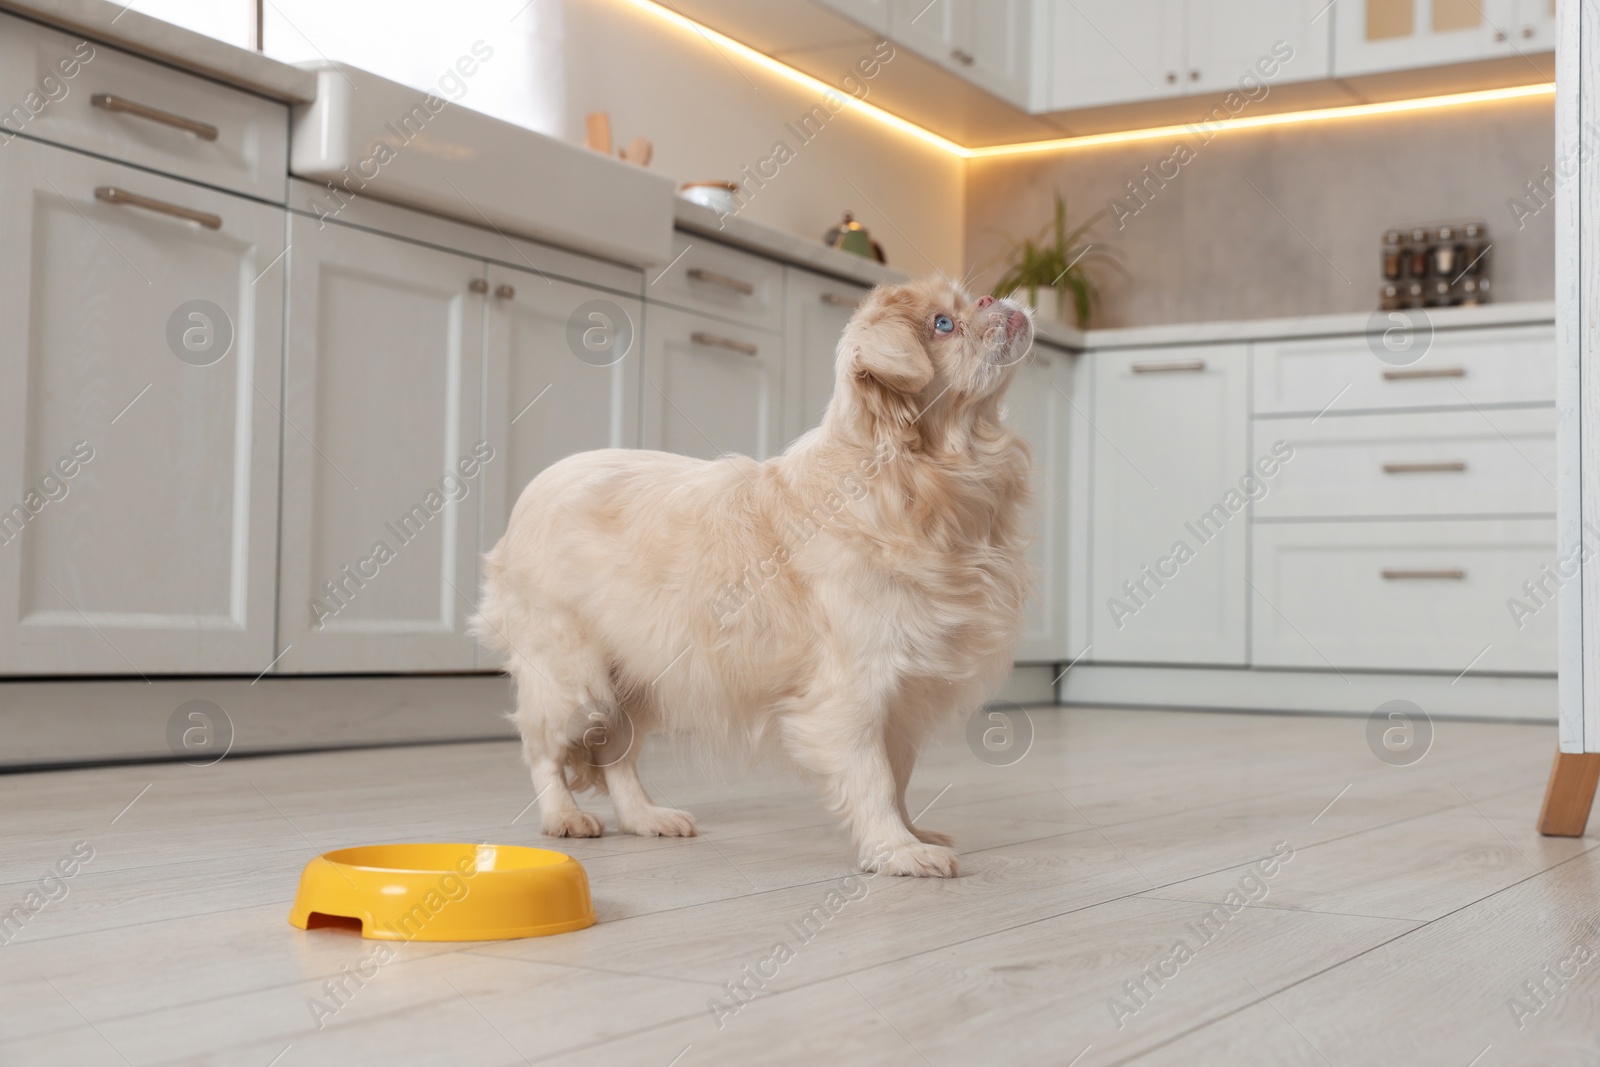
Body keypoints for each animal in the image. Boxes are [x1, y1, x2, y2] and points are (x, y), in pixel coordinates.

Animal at [467, 275, 1030, 876]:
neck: (922, 485)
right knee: (543, 748)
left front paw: (911, 834)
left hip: (642, 679)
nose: (993, 300)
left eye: (968, 301)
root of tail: (534, 491)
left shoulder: (901, 701)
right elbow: (874, 779)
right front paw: (897, 851)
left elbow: (898, 779)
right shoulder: (853, 693)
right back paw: (564, 817)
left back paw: (646, 817)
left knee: (616, 755)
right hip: (572, 678)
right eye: (943, 324)